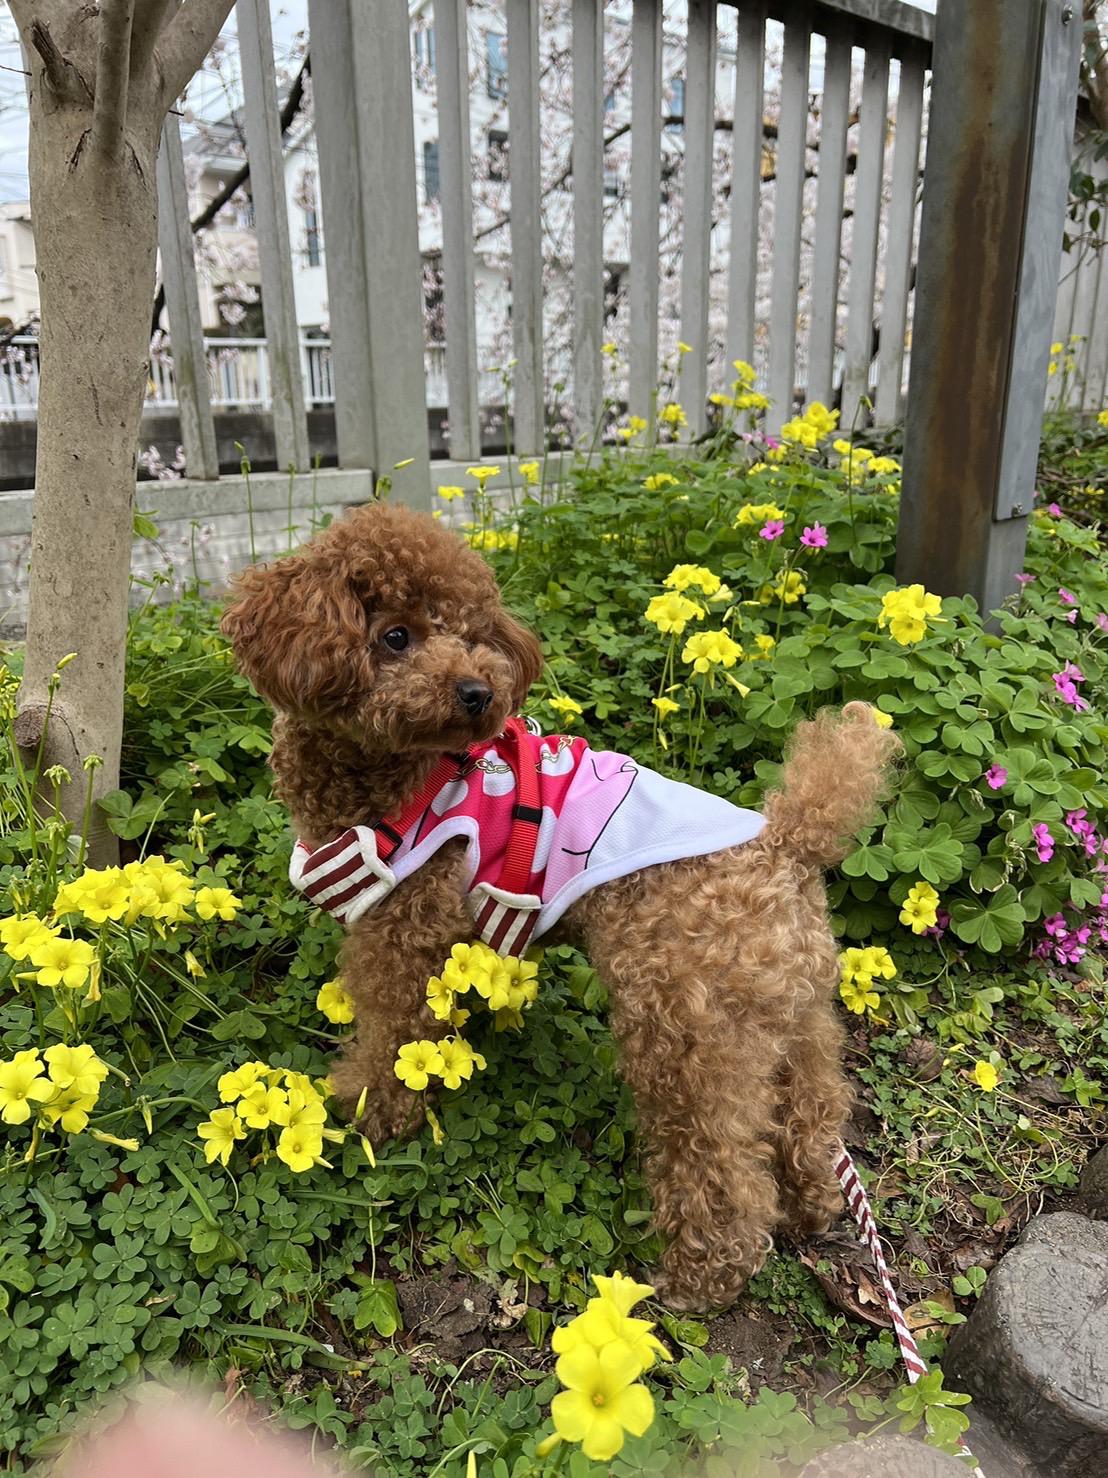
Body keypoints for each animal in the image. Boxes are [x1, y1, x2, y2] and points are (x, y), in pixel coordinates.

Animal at [221, 500, 898, 1311]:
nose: (478, 692)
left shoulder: (404, 926)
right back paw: (812, 1204)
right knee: (813, 1111)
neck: (393, 776)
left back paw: (699, 1277)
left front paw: (365, 1114)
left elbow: (393, 1036)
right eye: (396, 636)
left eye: (475, 634)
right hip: (795, 1017)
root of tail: (786, 844)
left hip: (687, 1033)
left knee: (723, 1166)